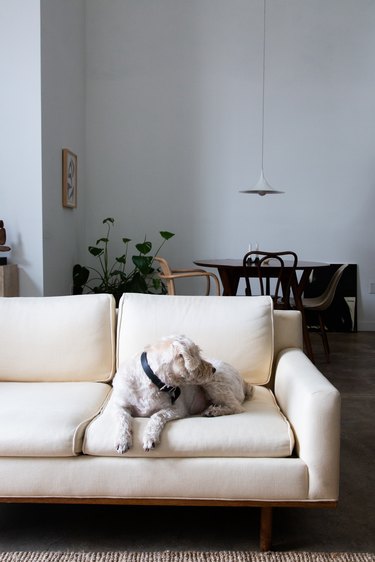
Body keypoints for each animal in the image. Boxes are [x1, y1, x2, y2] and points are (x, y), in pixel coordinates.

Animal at [111, 332, 253, 450]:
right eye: (196, 355)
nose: (213, 370)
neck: (152, 380)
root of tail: (243, 381)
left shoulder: (178, 409)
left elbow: (157, 415)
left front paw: (150, 437)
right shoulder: (118, 406)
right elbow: (123, 419)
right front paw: (122, 440)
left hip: (214, 383)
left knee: (237, 407)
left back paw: (214, 411)